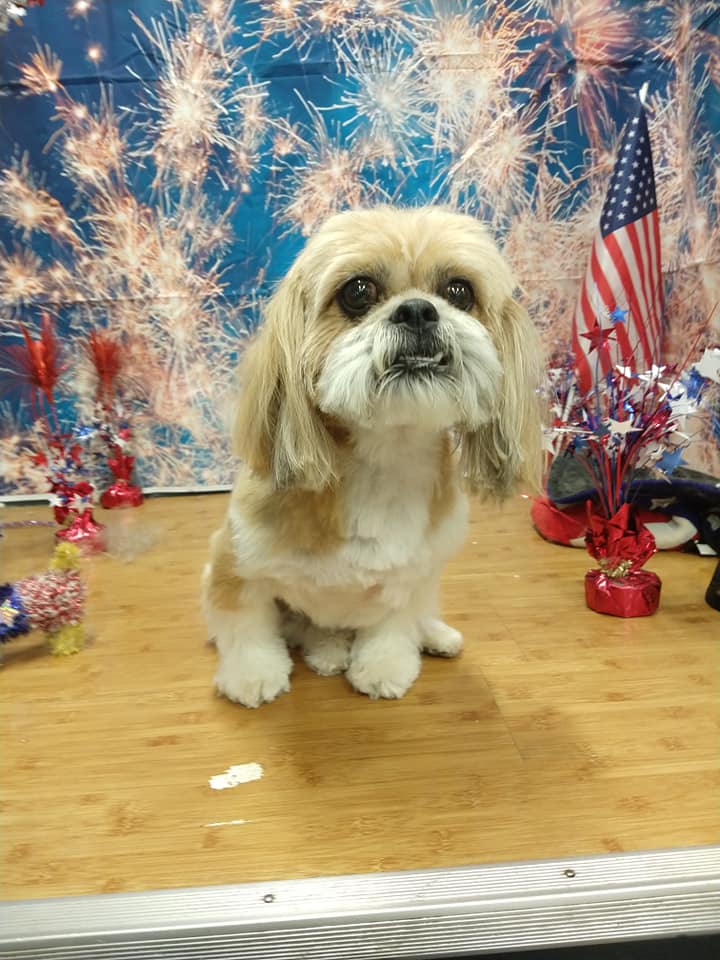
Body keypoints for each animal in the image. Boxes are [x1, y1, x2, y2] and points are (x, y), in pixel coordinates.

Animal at [203, 206, 542, 707]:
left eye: (459, 291)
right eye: (357, 291)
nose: (418, 310)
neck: (385, 460)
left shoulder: (414, 573)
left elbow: (395, 622)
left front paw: (384, 666)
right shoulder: (235, 561)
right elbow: (245, 623)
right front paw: (253, 675)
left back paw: (434, 635)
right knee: (309, 631)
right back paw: (326, 651)